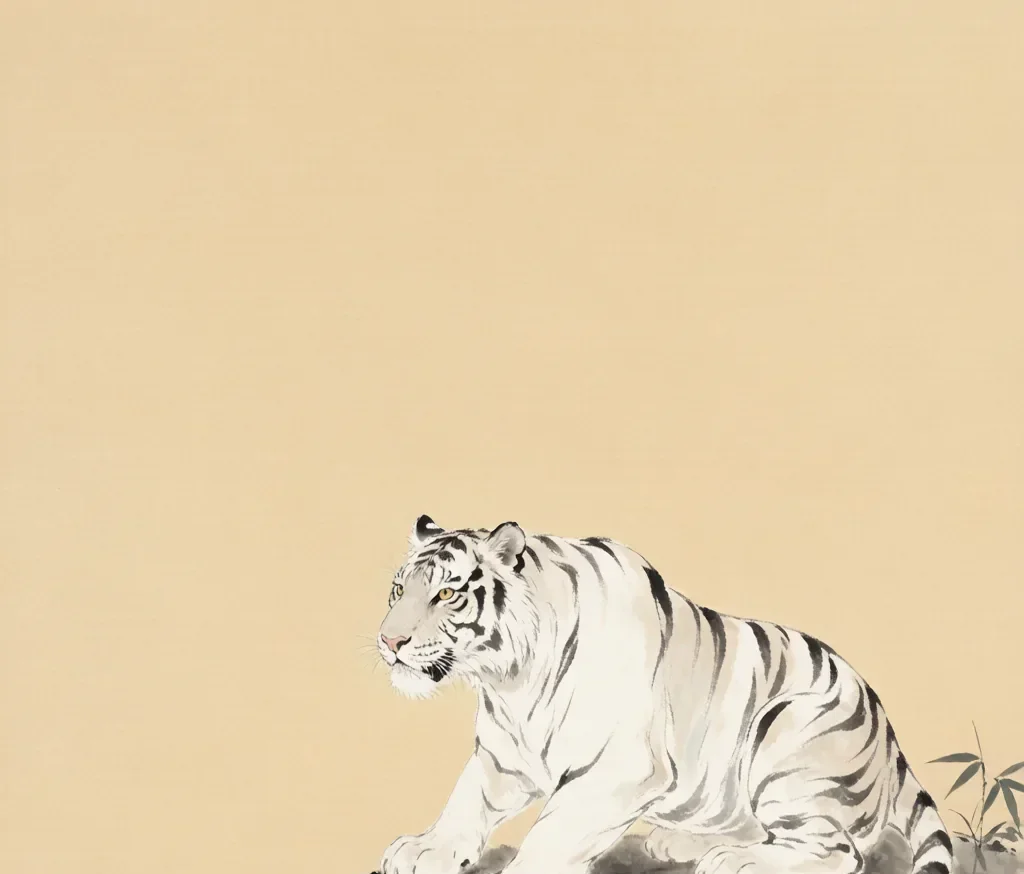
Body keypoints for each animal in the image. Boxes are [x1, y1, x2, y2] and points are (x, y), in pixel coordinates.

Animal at [375, 516, 952, 874]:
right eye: (399, 589)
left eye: (446, 593)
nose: (389, 640)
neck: (509, 681)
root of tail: (890, 740)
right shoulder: (501, 757)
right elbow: (464, 801)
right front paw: (425, 849)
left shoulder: (620, 768)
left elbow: (553, 831)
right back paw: (682, 841)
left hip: (788, 733)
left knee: (839, 851)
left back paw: (733, 861)